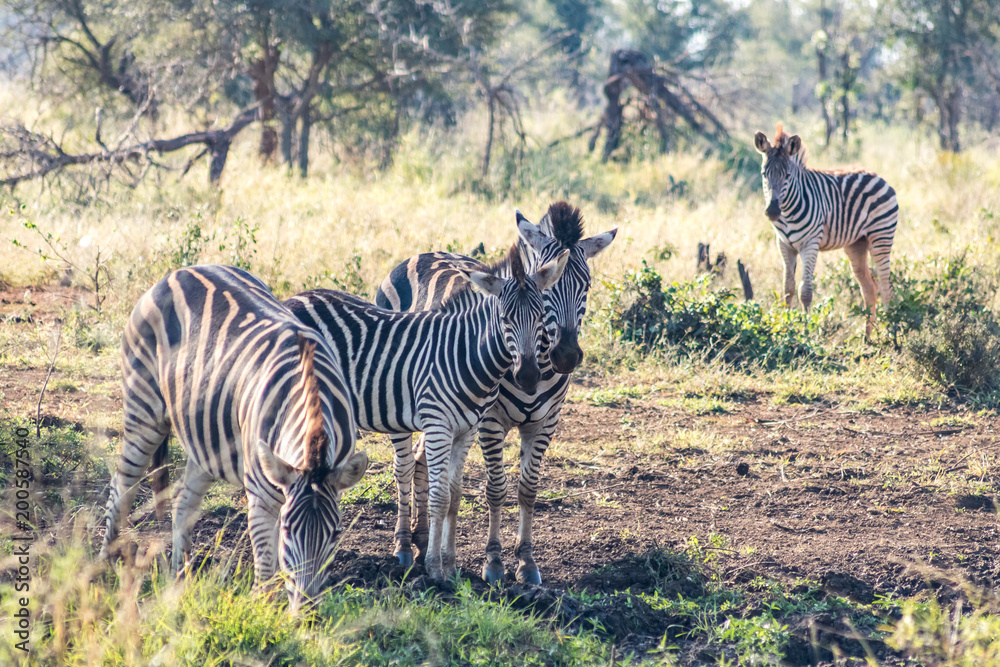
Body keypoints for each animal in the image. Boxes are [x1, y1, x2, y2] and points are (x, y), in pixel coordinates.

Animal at [99, 265, 368, 611]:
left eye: (336, 534)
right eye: (287, 530)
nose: (307, 615)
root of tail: (181, 271)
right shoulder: (261, 494)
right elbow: (266, 565)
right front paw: (262, 611)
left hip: (207, 441)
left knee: (184, 500)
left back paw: (180, 577)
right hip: (143, 410)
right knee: (122, 486)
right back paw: (104, 566)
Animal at [284, 230, 569, 581]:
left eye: (541, 317)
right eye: (504, 319)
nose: (528, 376)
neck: (465, 354)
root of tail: (293, 298)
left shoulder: (467, 430)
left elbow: (455, 496)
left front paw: (451, 564)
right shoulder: (437, 425)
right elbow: (439, 496)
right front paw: (434, 568)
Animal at [376, 202, 616, 584]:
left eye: (587, 286)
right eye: (546, 290)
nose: (566, 356)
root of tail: (424, 253)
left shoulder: (545, 424)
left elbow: (528, 489)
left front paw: (527, 563)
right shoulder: (490, 423)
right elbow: (496, 489)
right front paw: (493, 563)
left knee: (420, 461)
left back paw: (422, 537)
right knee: (402, 467)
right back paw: (402, 545)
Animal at [754, 124, 898, 338]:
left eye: (787, 176)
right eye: (765, 174)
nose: (772, 211)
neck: (787, 211)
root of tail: (877, 176)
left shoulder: (810, 244)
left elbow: (805, 292)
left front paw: (805, 333)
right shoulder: (784, 245)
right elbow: (788, 289)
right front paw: (785, 328)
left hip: (881, 237)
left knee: (886, 287)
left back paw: (892, 336)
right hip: (856, 244)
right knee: (869, 287)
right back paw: (867, 338)